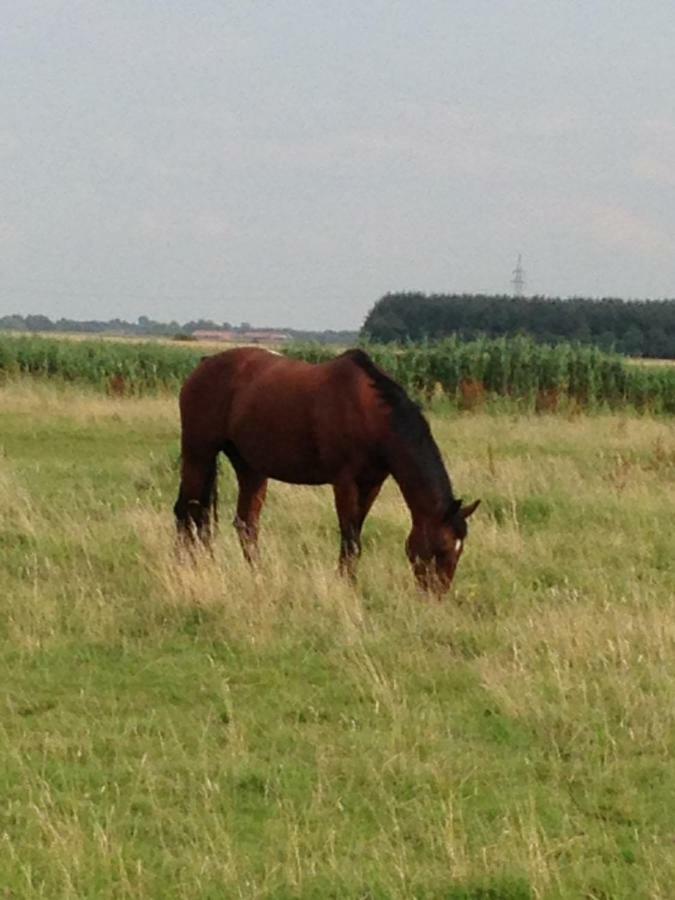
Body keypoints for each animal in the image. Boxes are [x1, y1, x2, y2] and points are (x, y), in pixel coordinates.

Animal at [174, 348, 480, 596]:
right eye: (441, 547)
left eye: (460, 549)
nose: (435, 595)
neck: (371, 412)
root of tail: (204, 364)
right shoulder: (344, 482)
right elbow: (350, 537)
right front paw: (347, 584)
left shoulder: (371, 483)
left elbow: (356, 533)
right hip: (198, 455)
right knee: (187, 513)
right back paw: (189, 567)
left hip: (250, 467)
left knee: (245, 524)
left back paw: (257, 575)